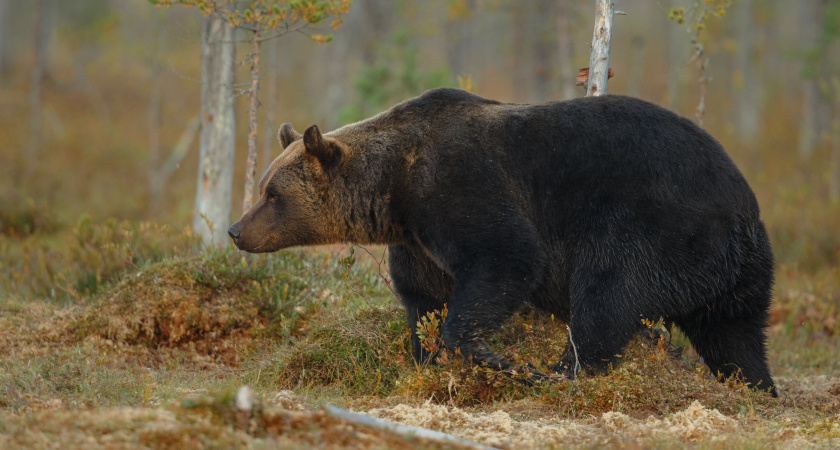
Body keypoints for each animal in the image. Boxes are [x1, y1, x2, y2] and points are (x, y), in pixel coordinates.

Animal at [226, 88, 776, 398]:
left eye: (272, 193)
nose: (235, 230)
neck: (394, 190)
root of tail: (742, 210)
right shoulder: (417, 241)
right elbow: (422, 299)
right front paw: (426, 359)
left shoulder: (461, 185)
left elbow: (507, 258)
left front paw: (491, 356)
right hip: (735, 271)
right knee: (735, 334)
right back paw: (755, 388)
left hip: (651, 224)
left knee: (606, 295)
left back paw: (560, 372)